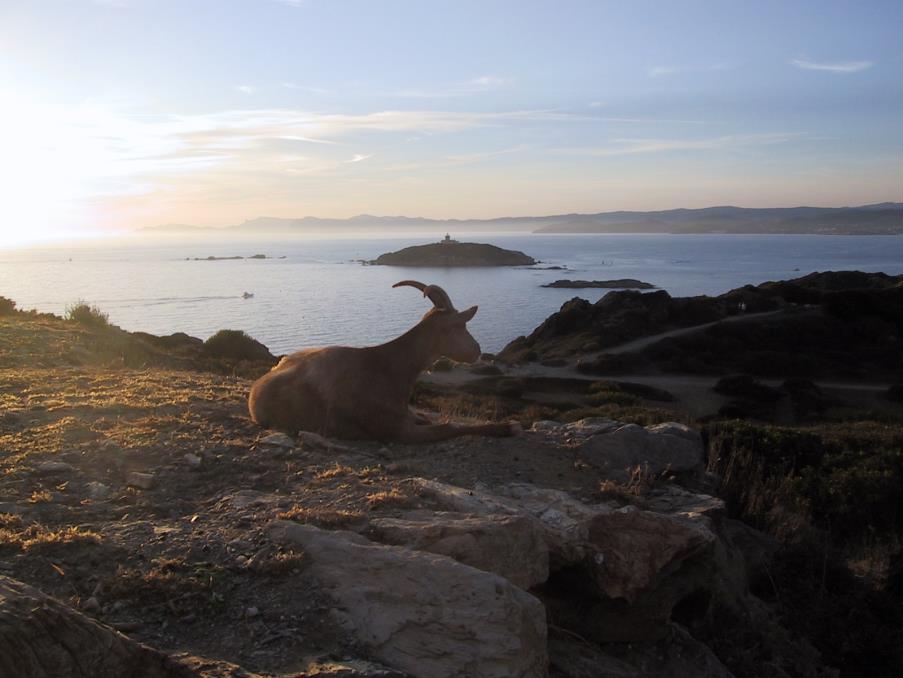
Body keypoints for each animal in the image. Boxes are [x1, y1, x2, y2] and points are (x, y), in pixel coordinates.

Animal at [247, 280, 516, 444]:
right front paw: (503, 427)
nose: (477, 350)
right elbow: (446, 427)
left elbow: (426, 417)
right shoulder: (396, 430)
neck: (386, 367)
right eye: (459, 325)